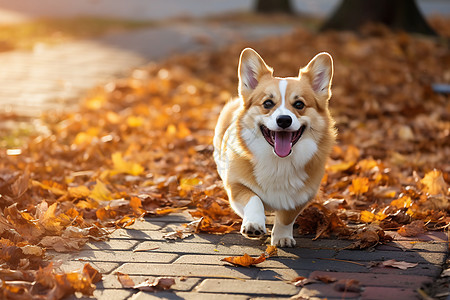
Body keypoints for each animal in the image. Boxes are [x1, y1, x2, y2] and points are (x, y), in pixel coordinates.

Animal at [213, 48, 336, 246]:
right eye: (267, 103)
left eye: (299, 104)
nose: (284, 120)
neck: (278, 162)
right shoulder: (236, 186)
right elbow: (254, 199)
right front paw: (254, 224)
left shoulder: (301, 197)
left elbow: (286, 218)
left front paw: (282, 238)